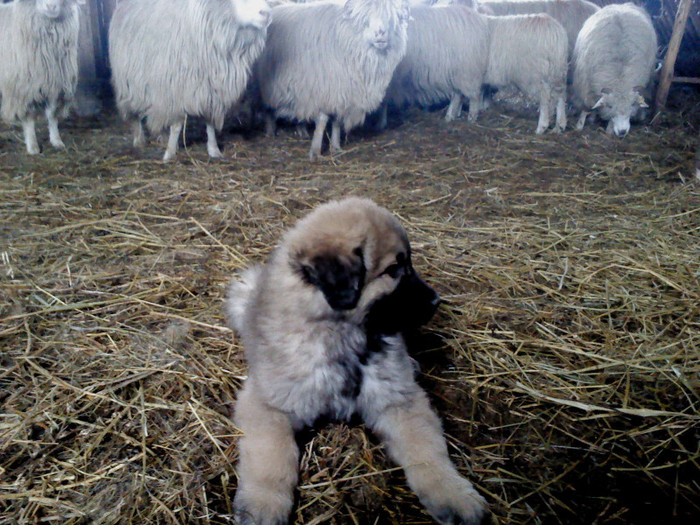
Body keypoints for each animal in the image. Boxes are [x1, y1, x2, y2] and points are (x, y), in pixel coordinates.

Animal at [0, 0, 83, 155]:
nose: (51, 6)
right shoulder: (25, 88)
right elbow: (29, 118)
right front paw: (32, 146)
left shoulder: (55, 83)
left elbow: (52, 114)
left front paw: (56, 141)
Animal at [108, 0, 270, 162]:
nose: (267, 13)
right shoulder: (177, 88)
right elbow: (176, 125)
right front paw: (170, 153)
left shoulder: (211, 90)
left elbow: (210, 124)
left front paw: (213, 149)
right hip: (129, 81)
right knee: (132, 111)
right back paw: (139, 139)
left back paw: (161, 136)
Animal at [226, 196, 486, 524]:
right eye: (393, 269)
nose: (436, 301)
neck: (342, 336)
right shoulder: (268, 404)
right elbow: (270, 457)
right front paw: (262, 504)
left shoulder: (398, 399)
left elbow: (427, 449)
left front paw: (452, 493)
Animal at [254, 0, 410, 159]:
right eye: (363, 18)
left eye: (392, 18)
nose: (380, 33)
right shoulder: (323, 90)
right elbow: (322, 120)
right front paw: (316, 151)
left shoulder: (340, 92)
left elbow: (336, 121)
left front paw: (335, 146)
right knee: (267, 108)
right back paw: (270, 131)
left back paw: (301, 130)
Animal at [572, 2, 660, 137]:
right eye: (610, 106)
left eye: (632, 105)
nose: (622, 131)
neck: (620, 77)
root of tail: (621, 5)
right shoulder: (584, 85)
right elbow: (585, 107)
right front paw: (579, 126)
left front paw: (609, 129)